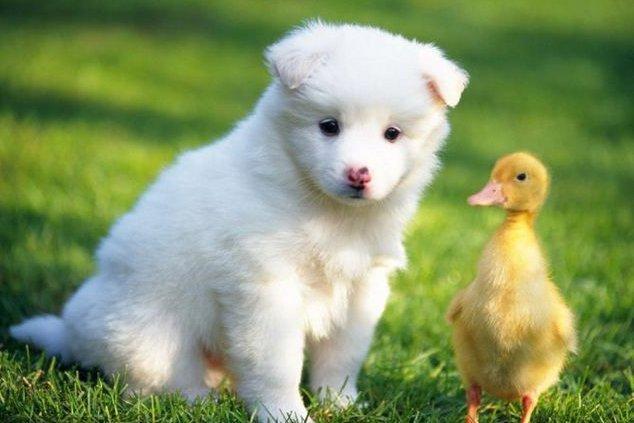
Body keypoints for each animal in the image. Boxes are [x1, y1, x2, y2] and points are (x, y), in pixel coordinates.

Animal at [10, 22, 468, 421]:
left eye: (392, 133)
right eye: (329, 126)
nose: (359, 174)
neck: (327, 211)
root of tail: (71, 331)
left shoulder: (363, 287)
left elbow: (343, 356)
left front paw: (340, 404)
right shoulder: (265, 288)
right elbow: (276, 365)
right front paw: (285, 414)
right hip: (149, 337)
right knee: (152, 385)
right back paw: (200, 400)